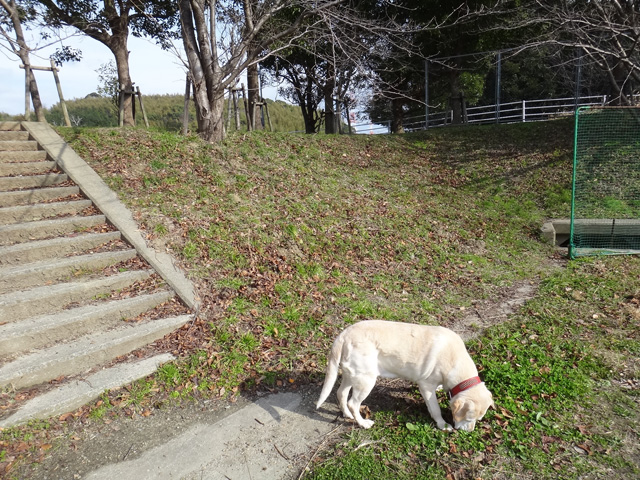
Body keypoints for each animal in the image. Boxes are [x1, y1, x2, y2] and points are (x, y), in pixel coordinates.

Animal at [318, 320, 492, 430]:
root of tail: (344, 334)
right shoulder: (426, 387)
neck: (456, 361)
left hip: (353, 375)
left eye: (479, 420)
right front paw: (442, 425)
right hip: (366, 381)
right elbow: (435, 409)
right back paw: (362, 423)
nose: (469, 432)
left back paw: (347, 415)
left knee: (341, 393)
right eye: (468, 419)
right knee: (353, 403)